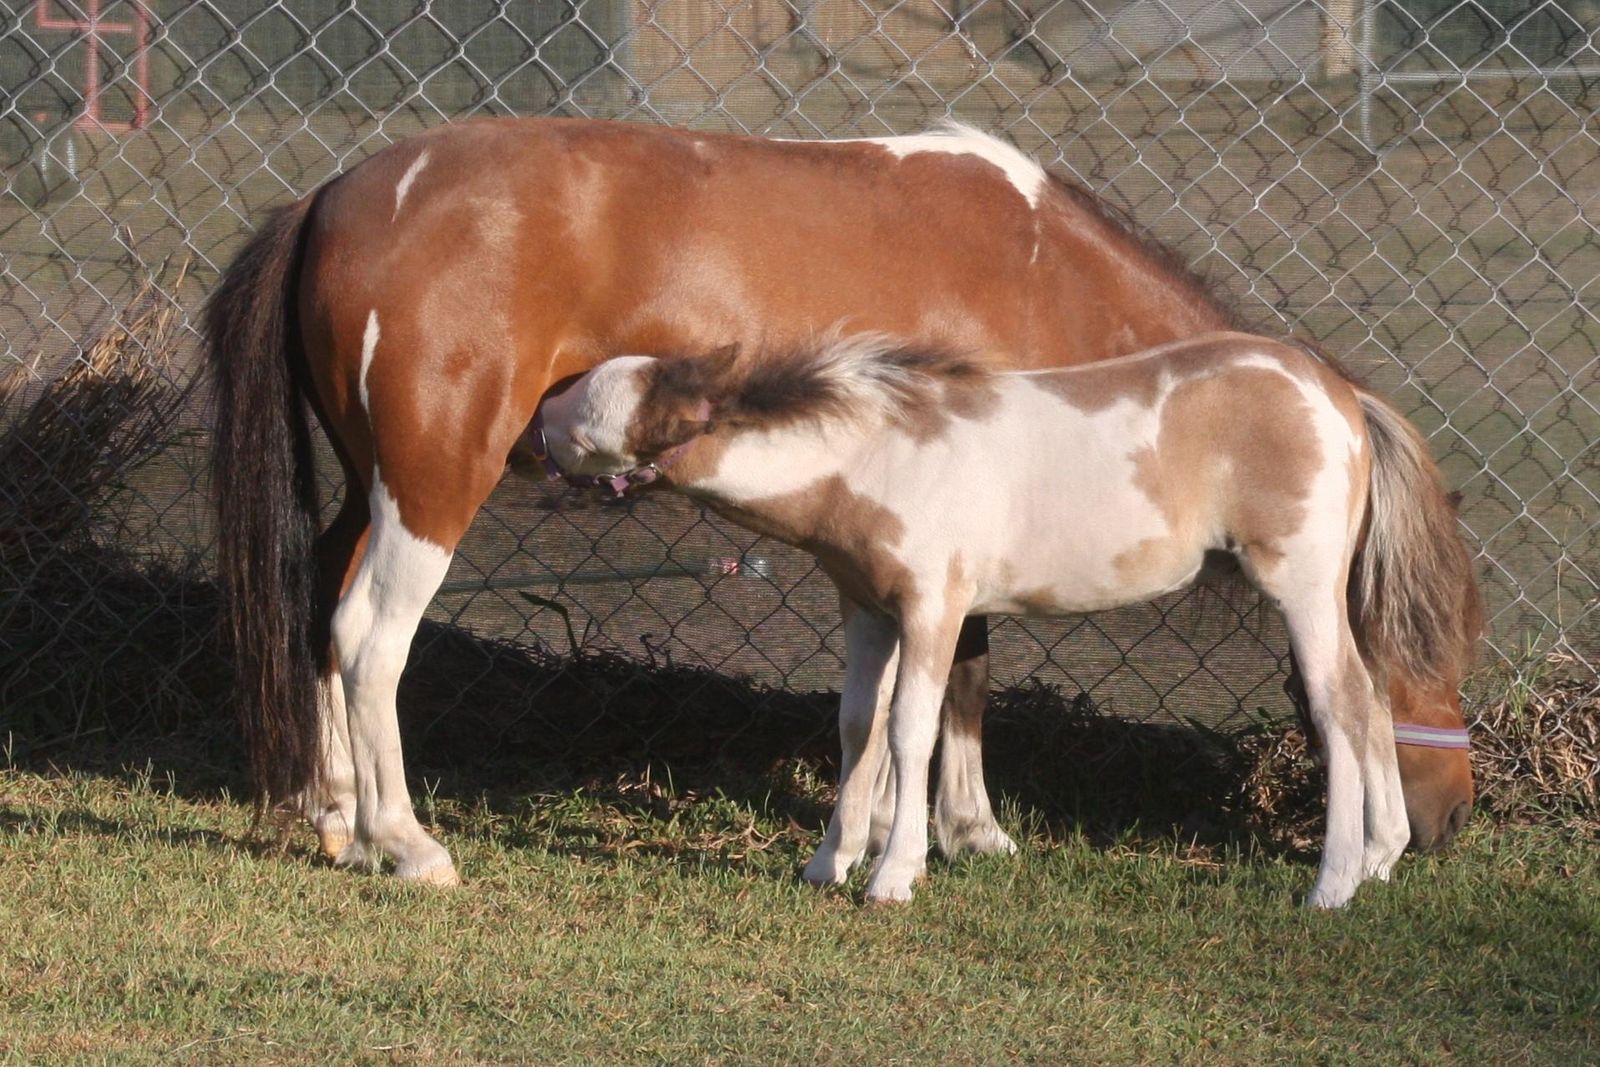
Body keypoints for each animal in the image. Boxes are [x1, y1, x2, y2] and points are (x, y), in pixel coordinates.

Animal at [537, 332, 1481, 907]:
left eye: (589, 406)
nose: (534, 417)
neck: (874, 453)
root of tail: (1342, 393)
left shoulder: (935, 606)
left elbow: (911, 728)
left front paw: (894, 875)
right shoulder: (868, 611)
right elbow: (855, 726)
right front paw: (826, 863)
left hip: (1302, 586)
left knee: (1339, 704)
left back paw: (1333, 882)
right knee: (1375, 701)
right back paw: (1384, 855)